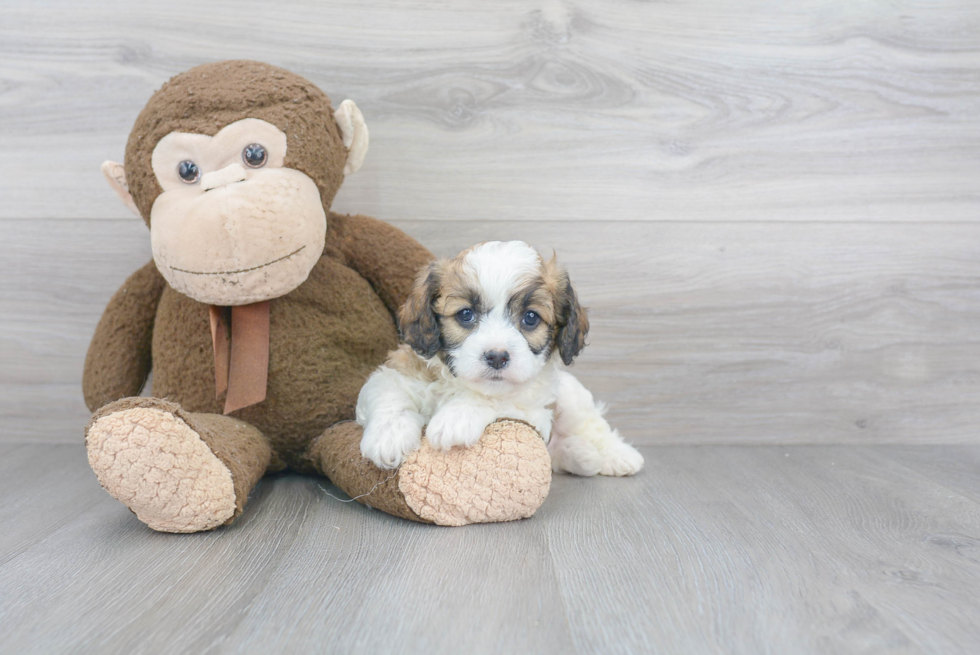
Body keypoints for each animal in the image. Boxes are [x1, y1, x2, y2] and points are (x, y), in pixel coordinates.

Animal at [356, 241, 648, 476]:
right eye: (465, 314)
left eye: (530, 317)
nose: (497, 357)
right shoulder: (395, 372)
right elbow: (389, 395)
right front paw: (389, 436)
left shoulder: (533, 411)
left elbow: (497, 401)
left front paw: (457, 417)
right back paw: (582, 455)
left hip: (572, 397)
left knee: (592, 424)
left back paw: (616, 455)